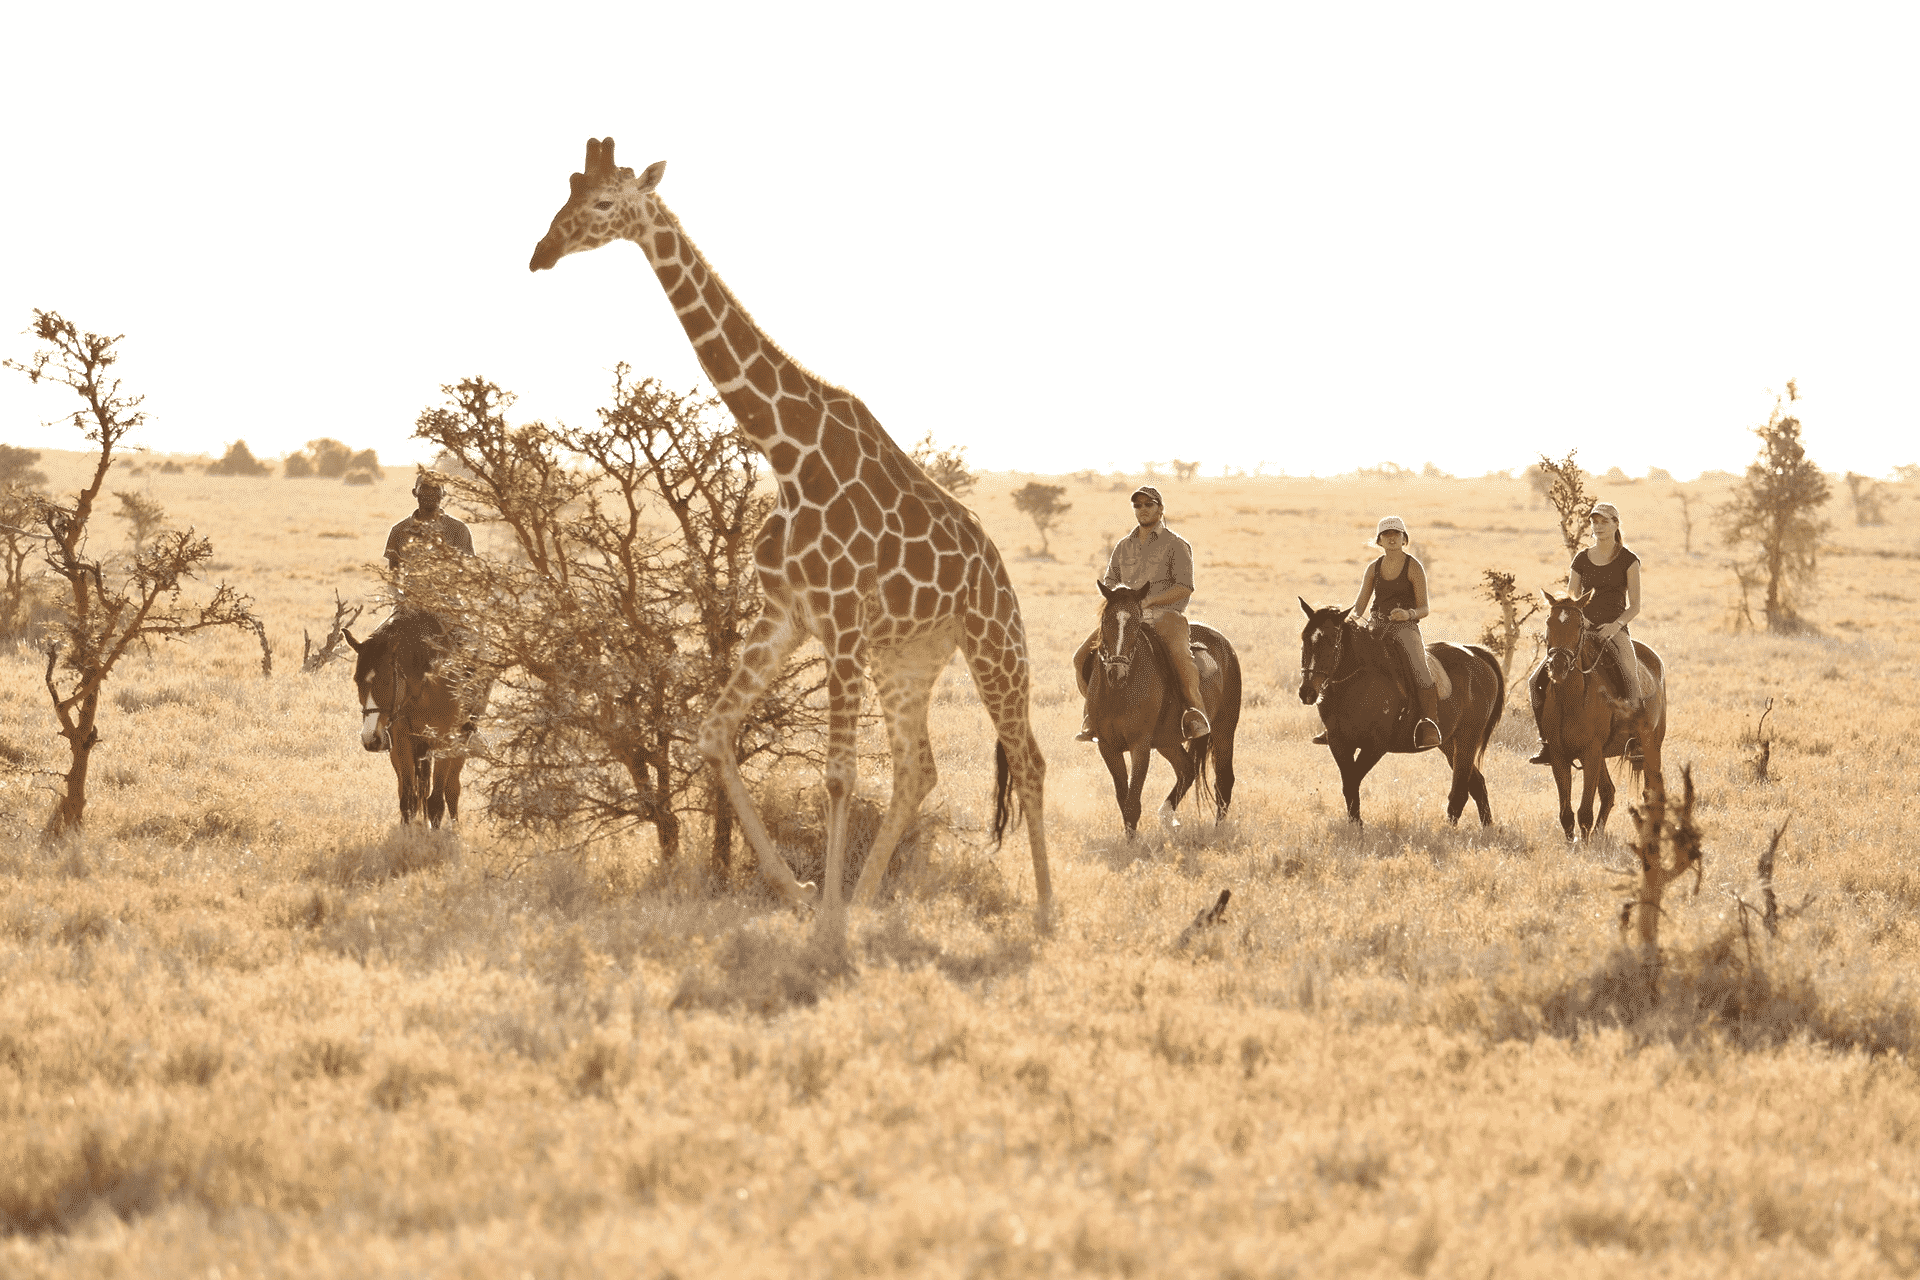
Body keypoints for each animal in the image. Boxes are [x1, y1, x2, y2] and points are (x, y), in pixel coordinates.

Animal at [351, 610, 491, 832]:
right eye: (357, 680)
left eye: (386, 680)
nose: (370, 738)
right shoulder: (402, 741)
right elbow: (408, 797)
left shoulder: (445, 741)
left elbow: (436, 799)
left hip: (462, 738)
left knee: (452, 787)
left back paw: (455, 825)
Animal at [529, 138, 1052, 932]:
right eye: (565, 192)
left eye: (602, 203)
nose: (540, 253)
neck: (786, 450)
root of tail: (997, 568)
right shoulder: (787, 615)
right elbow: (714, 734)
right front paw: (803, 892)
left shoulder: (839, 618)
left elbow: (837, 774)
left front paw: (825, 919)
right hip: (908, 658)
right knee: (918, 769)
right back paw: (866, 898)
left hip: (993, 639)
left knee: (1028, 759)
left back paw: (1047, 914)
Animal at [1082, 583, 1244, 840]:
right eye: (1105, 620)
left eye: (1136, 623)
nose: (1116, 673)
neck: (1119, 691)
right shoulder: (1107, 746)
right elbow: (1123, 798)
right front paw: (1130, 839)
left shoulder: (1140, 746)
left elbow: (1132, 802)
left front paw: (1132, 844)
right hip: (1167, 741)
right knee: (1187, 770)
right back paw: (1168, 817)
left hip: (1224, 731)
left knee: (1224, 780)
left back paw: (1217, 831)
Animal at [1297, 602, 1505, 832]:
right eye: (1304, 638)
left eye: (1332, 640)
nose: (1307, 692)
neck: (1355, 681)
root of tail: (1475, 653)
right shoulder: (1339, 743)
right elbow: (1349, 784)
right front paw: (1355, 826)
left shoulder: (1375, 746)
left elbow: (1352, 781)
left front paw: (1358, 827)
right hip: (1448, 743)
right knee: (1477, 784)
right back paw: (1487, 829)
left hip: (1467, 739)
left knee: (1460, 789)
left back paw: (1449, 831)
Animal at [1528, 591, 1666, 840]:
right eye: (1548, 622)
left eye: (1579, 625)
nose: (1559, 666)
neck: (1571, 697)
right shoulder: (1559, 756)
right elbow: (1566, 813)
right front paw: (1574, 841)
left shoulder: (1591, 754)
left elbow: (1584, 811)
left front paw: (1584, 844)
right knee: (1609, 792)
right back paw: (1599, 835)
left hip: (1651, 747)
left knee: (1652, 791)